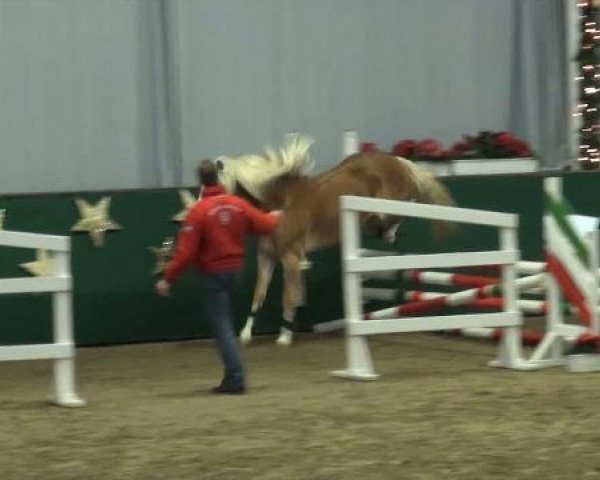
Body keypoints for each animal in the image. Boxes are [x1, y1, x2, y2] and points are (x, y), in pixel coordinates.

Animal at [216, 133, 454, 346]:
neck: (279, 203)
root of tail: (397, 161)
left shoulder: (290, 256)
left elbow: (288, 296)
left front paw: (284, 337)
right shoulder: (266, 257)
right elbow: (259, 295)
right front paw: (245, 335)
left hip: (390, 202)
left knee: (404, 207)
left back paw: (392, 231)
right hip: (367, 216)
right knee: (385, 220)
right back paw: (388, 234)